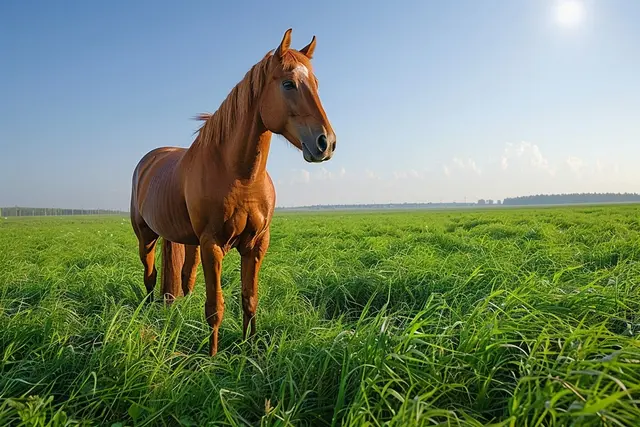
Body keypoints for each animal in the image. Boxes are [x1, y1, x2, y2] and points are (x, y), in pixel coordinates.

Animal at [129, 28, 336, 356]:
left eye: (316, 84)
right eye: (288, 83)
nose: (326, 143)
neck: (240, 177)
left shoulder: (256, 244)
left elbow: (249, 299)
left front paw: (249, 349)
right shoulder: (212, 245)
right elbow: (215, 307)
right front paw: (213, 357)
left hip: (183, 239)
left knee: (184, 278)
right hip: (146, 236)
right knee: (149, 276)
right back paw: (149, 313)